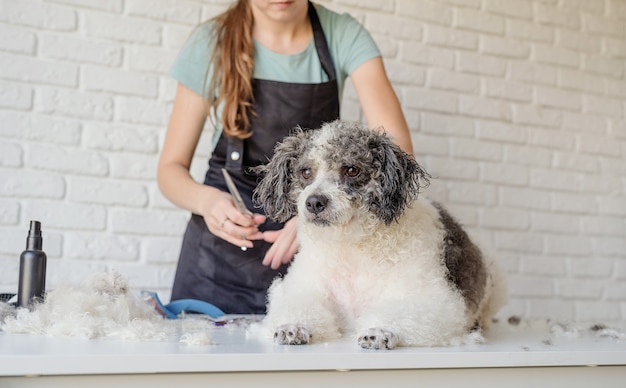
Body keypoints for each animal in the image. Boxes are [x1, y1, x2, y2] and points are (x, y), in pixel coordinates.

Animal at [251, 119, 504, 350]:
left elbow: (399, 315)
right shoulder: (304, 289)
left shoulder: (436, 301)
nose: (314, 202)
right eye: (305, 172)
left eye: (352, 170)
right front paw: (292, 326)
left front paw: (380, 330)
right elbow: (299, 308)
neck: (351, 247)